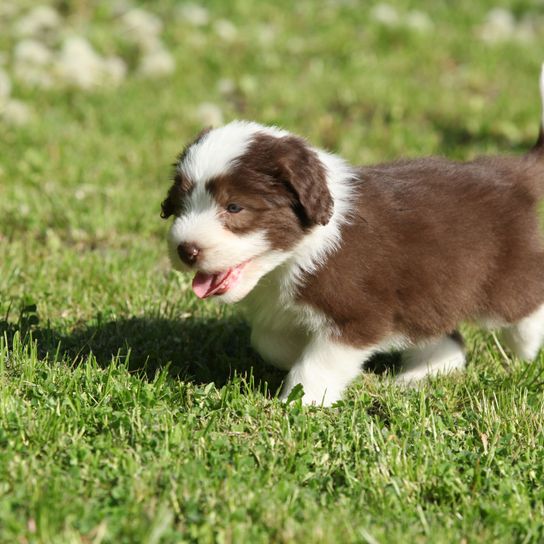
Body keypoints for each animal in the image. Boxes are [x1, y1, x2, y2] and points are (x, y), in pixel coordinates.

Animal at [162, 68, 544, 406]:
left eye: (235, 207)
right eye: (180, 204)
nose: (185, 250)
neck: (292, 258)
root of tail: (510, 173)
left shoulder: (357, 316)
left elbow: (318, 363)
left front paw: (302, 403)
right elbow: (267, 340)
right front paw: (293, 353)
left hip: (502, 276)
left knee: (526, 300)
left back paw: (526, 346)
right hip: (432, 290)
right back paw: (418, 377)